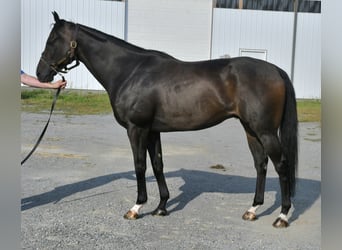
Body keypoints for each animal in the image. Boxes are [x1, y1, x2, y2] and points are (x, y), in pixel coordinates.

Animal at [36, 12, 296, 229]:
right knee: (261, 164)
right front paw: (161, 207)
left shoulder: (137, 129)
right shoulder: (152, 131)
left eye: (52, 40)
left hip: (266, 131)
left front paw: (136, 208)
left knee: (282, 165)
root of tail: (276, 71)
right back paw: (252, 210)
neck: (130, 70)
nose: (40, 73)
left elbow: (140, 165)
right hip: (250, 129)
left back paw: (282, 216)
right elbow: (158, 165)